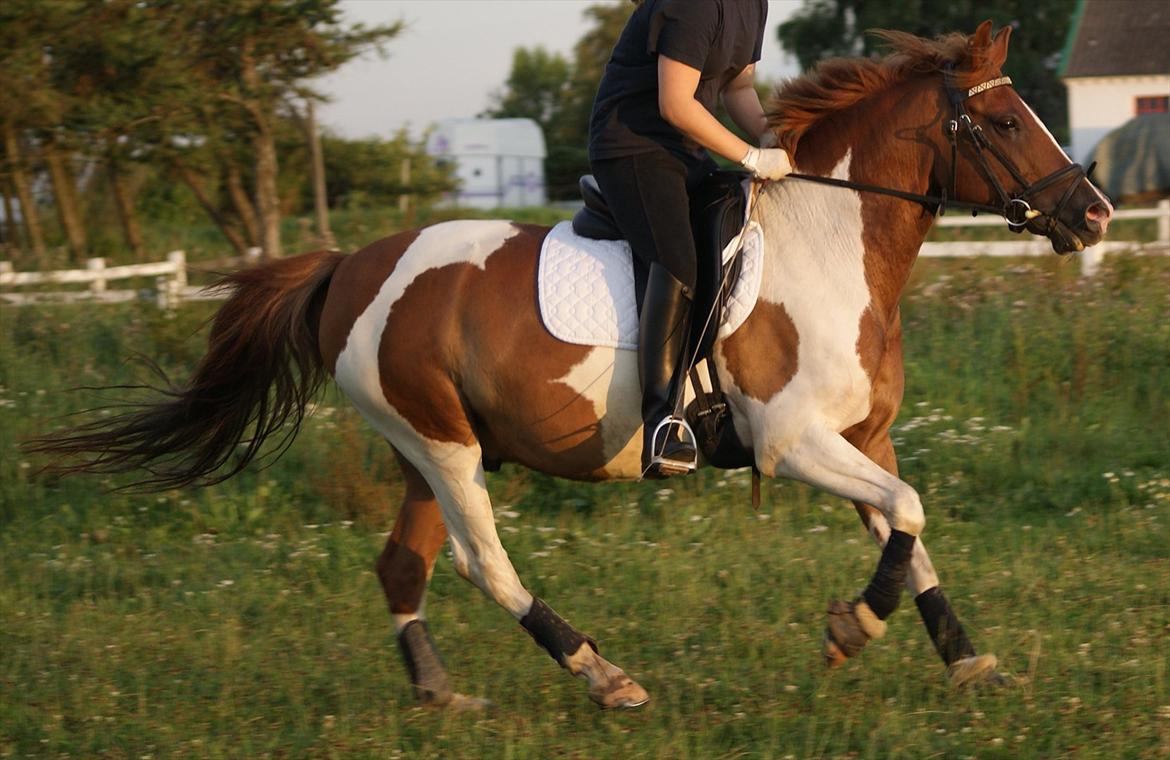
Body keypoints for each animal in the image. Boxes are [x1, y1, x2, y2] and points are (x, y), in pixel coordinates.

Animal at [32, 25, 1109, 710]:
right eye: (1004, 123)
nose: (1093, 214)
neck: (830, 242)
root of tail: (350, 266)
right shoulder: (794, 441)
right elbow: (913, 515)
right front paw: (852, 631)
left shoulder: (861, 438)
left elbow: (909, 532)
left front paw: (966, 664)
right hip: (444, 444)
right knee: (483, 562)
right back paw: (601, 673)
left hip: (428, 448)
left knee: (404, 563)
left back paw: (440, 696)